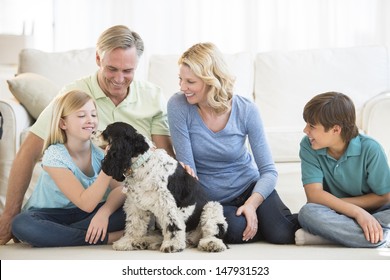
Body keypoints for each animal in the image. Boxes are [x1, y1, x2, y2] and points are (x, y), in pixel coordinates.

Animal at [92, 121, 227, 253]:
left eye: (107, 131)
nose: (92, 131)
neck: (142, 162)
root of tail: (190, 239)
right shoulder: (135, 204)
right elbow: (134, 225)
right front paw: (128, 242)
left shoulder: (166, 202)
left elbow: (172, 225)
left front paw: (172, 245)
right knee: (157, 235)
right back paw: (141, 242)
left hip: (211, 207)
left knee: (212, 233)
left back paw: (211, 244)